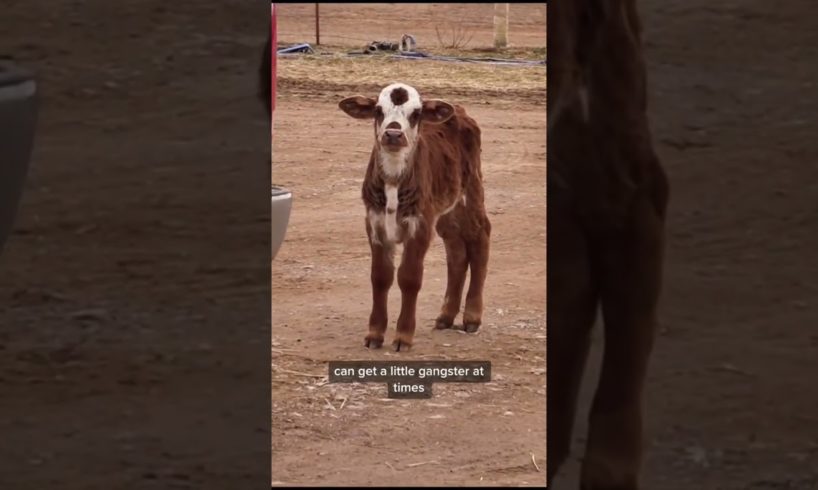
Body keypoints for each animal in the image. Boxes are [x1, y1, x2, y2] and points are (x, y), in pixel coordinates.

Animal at [338, 83, 491, 351]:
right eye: (378, 110)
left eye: (416, 113)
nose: (393, 134)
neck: (393, 181)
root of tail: (460, 112)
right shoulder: (375, 224)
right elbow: (380, 277)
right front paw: (374, 334)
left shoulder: (419, 225)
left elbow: (409, 277)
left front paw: (403, 336)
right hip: (447, 210)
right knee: (456, 251)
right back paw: (446, 316)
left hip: (471, 191)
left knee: (480, 236)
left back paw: (472, 317)